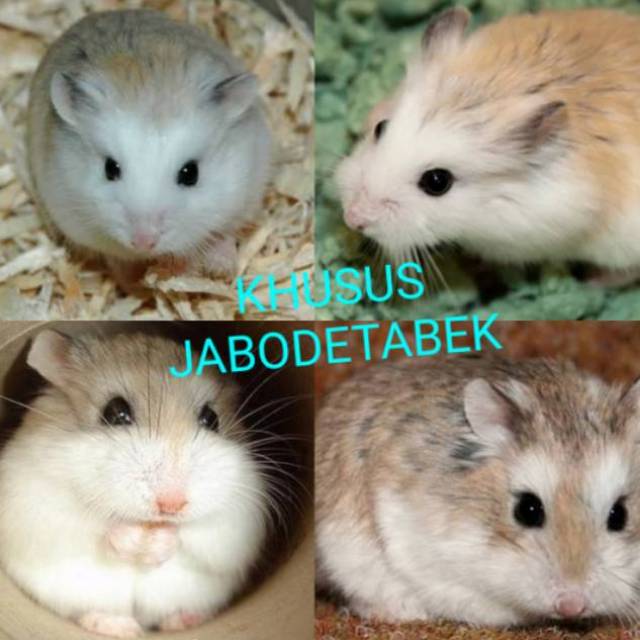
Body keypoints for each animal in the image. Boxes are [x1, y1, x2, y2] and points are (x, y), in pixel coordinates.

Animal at [0, 330, 269, 638]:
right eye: (115, 412)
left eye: (212, 419)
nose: (171, 505)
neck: (147, 521)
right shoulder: (35, 498)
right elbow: (94, 524)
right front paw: (133, 540)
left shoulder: (241, 512)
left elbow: (196, 533)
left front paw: (156, 542)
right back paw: (121, 627)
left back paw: (184, 620)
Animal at [27, 9, 272, 284]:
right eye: (110, 169)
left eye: (191, 173)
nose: (144, 242)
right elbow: (117, 260)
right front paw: (139, 282)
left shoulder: (241, 197)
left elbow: (223, 232)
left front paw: (219, 271)